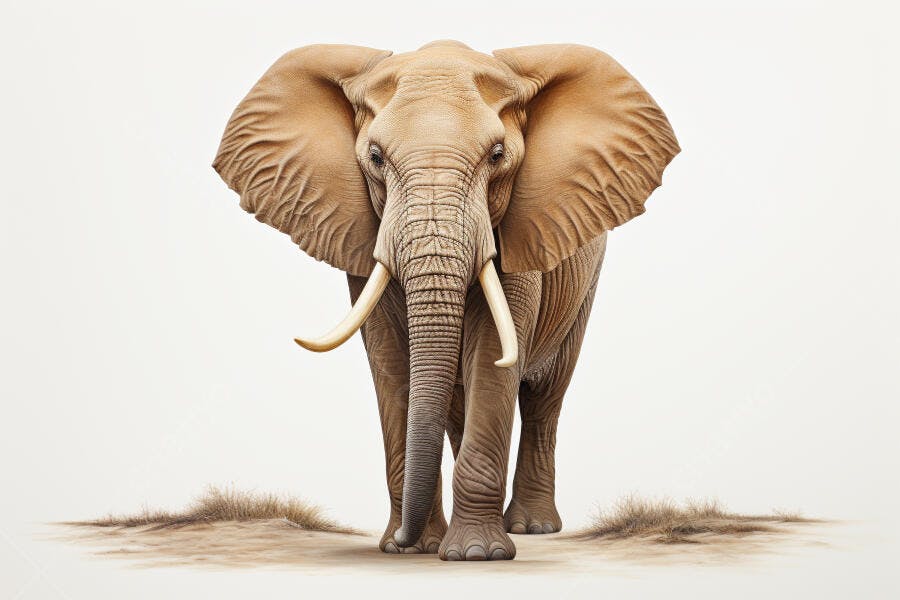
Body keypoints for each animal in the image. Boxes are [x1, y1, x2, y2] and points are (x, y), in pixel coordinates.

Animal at [213, 40, 678, 561]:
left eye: (497, 154)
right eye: (375, 156)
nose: (400, 539)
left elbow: (493, 358)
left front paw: (477, 554)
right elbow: (391, 363)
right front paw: (411, 549)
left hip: (585, 284)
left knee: (545, 397)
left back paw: (532, 527)